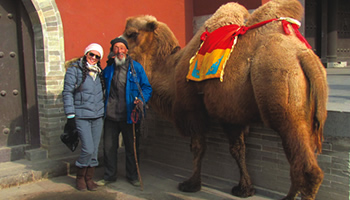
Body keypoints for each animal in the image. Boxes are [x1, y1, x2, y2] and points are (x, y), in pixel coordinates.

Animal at [121, 0, 328, 199]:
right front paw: (245, 189)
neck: (172, 68)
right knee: (297, 161)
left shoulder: (193, 108)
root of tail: (304, 55)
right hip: (306, 113)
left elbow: (197, 147)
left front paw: (191, 184)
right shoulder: (231, 114)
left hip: (284, 105)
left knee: (307, 169)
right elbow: (238, 149)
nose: (116, 46)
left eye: (131, 34)